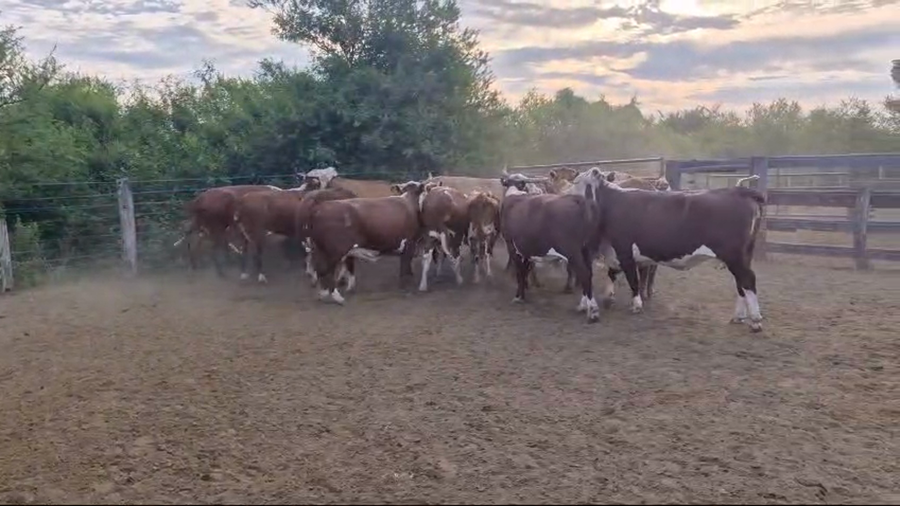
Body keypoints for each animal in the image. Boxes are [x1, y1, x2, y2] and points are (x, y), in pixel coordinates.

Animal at [499, 172, 601, 323]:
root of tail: (577, 200)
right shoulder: (526, 251)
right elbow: (525, 270)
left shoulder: (513, 248)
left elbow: (520, 272)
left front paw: (518, 296)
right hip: (586, 250)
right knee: (589, 273)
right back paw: (583, 306)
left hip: (572, 251)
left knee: (584, 273)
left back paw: (593, 312)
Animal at [572, 167, 767, 332]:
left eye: (576, 182)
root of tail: (737, 191)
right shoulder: (616, 253)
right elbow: (612, 273)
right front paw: (607, 298)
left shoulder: (625, 251)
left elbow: (633, 280)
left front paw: (636, 305)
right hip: (743, 255)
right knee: (741, 284)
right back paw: (739, 316)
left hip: (734, 255)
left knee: (748, 280)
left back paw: (756, 321)